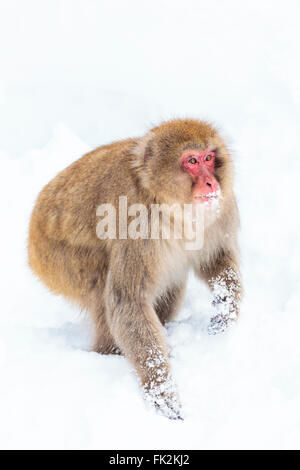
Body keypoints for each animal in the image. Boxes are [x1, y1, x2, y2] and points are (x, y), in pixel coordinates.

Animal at [28, 119, 241, 420]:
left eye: (209, 158)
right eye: (192, 161)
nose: (211, 182)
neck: (169, 203)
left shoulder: (221, 206)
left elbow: (216, 261)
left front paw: (225, 310)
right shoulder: (138, 224)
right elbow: (127, 302)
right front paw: (162, 390)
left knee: (171, 285)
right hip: (57, 261)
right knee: (104, 296)